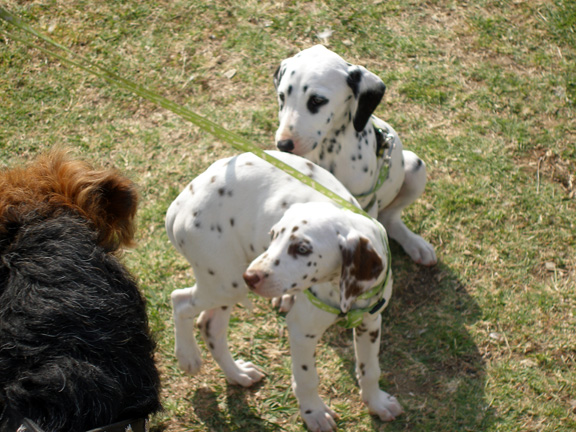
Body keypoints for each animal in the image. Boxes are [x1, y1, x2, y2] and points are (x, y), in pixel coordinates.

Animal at [165, 150, 400, 430]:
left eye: (302, 249)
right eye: (274, 235)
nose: (251, 277)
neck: (340, 290)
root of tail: (179, 204)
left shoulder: (370, 321)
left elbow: (369, 369)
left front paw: (376, 402)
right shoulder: (302, 331)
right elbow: (307, 377)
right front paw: (314, 413)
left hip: (227, 285)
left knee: (210, 326)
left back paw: (237, 374)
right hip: (225, 283)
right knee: (179, 300)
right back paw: (187, 356)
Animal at [274, 44, 436, 266]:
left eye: (317, 100)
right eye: (282, 97)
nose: (283, 144)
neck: (327, 152)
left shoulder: (364, 205)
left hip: (415, 167)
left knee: (390, 218)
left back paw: (415, 244)